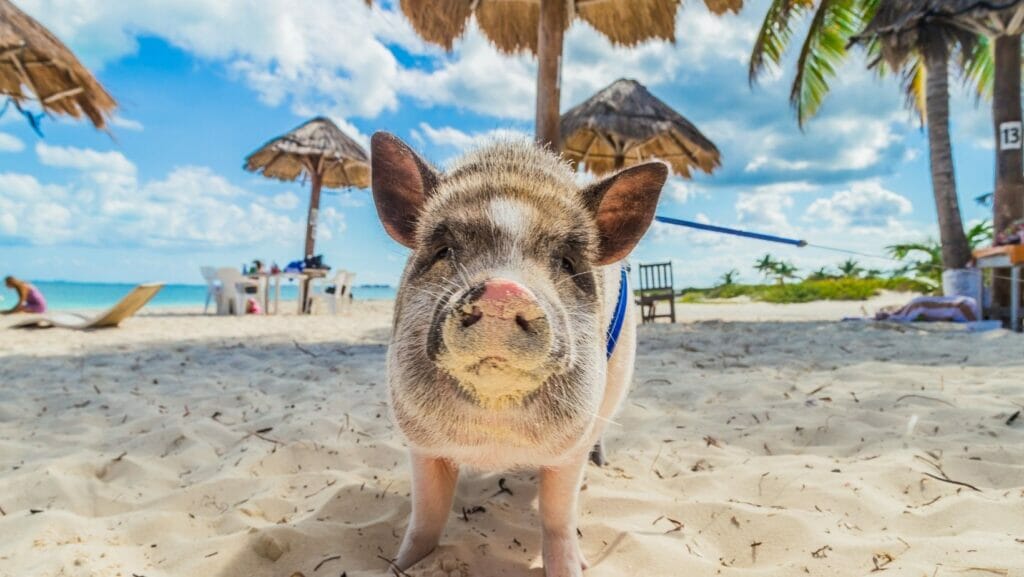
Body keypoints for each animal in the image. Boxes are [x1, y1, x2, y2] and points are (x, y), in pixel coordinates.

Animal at [369, 132, 667, 577]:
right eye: (443, 250)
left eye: (567, 262)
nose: (502, 290)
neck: (497, 438)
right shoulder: (420, 440)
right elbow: (426, 514)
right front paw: (400, 564)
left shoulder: (571, 443)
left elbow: (558, 514)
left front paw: (573, 567)